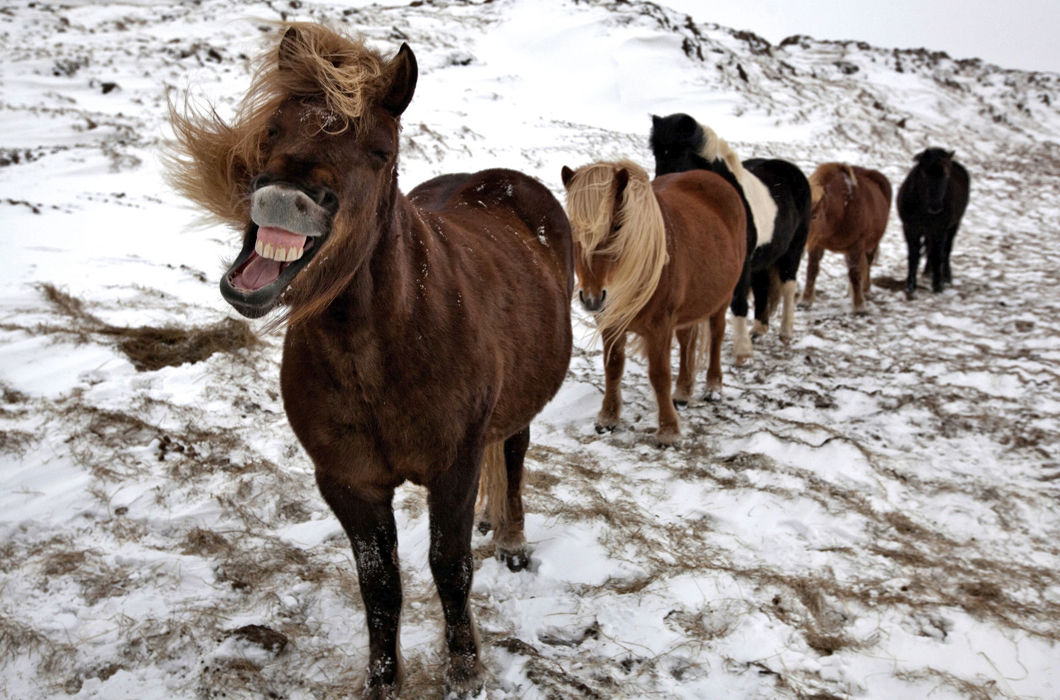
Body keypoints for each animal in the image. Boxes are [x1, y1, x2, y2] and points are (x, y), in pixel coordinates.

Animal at [170, 21, 576, 699]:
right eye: (272, 128)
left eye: (380, 151)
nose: (283, 198)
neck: (381, 351)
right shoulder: (348, 481)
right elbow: (379, 586)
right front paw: (383, 682)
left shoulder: (453, 466)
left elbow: (450, 567)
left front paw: (464, 670)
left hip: (517, 408)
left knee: (513, 453)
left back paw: (511, 538)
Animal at [563, 160, 746, 443]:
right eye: (574, 228)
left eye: (617, 227)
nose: (592, 298)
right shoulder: (611, 323)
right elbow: (613, 367)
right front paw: (608, 418)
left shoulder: (660, 327)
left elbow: (659, 375)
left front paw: (668, 430)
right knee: (686, 341)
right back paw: (682, 392)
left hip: (722, 298)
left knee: (716, 335)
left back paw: (713, 387)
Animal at [644, 111, 809, 362]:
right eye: (656, 153)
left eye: (679, 152)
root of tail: (791, 169)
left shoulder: (740, 263)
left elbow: (738, 300)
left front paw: (742, 351)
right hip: (764, 258)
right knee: (763, 287)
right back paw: (758, 329)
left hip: (793, 250)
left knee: (789, 286)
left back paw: (785, 332)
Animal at [797, 161, 890, 313]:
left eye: (814, 216)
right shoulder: (817, 244)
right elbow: (812, 270)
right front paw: (805, 301)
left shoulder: (856, 245)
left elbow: (855, 273)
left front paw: (859, 306)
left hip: (871, 244)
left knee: (867, 264)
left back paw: (865, 290)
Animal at [894, 149, 970, 296]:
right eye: (924, 174)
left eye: (946, 175)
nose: (935, 206)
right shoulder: (910, 228)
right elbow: (914, 255)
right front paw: (910, 285)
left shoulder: (940, 229)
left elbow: (938, 255)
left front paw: (938, 285)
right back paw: (927, 271)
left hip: (953, 226)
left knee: (946, 250)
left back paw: (946, 276)